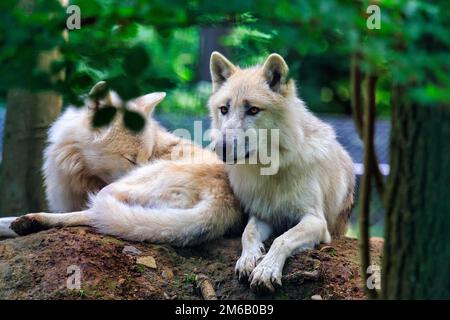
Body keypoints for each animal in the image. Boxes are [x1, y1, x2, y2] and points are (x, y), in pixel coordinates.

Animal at [0, 83, 241, 248]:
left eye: (147, 157)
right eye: (132, 159)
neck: (78, 167)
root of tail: (225, 202)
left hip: (114, 192)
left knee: (95, 216)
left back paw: (32, 221)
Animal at [208, 51, 356, 292]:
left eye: (253, 110)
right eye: (224, 109)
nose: (220, 148)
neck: (271, 172)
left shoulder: (316, 221)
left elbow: (283, 239)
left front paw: (266, 270)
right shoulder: (263, 214)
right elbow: (248, 234)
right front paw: (248, 259)